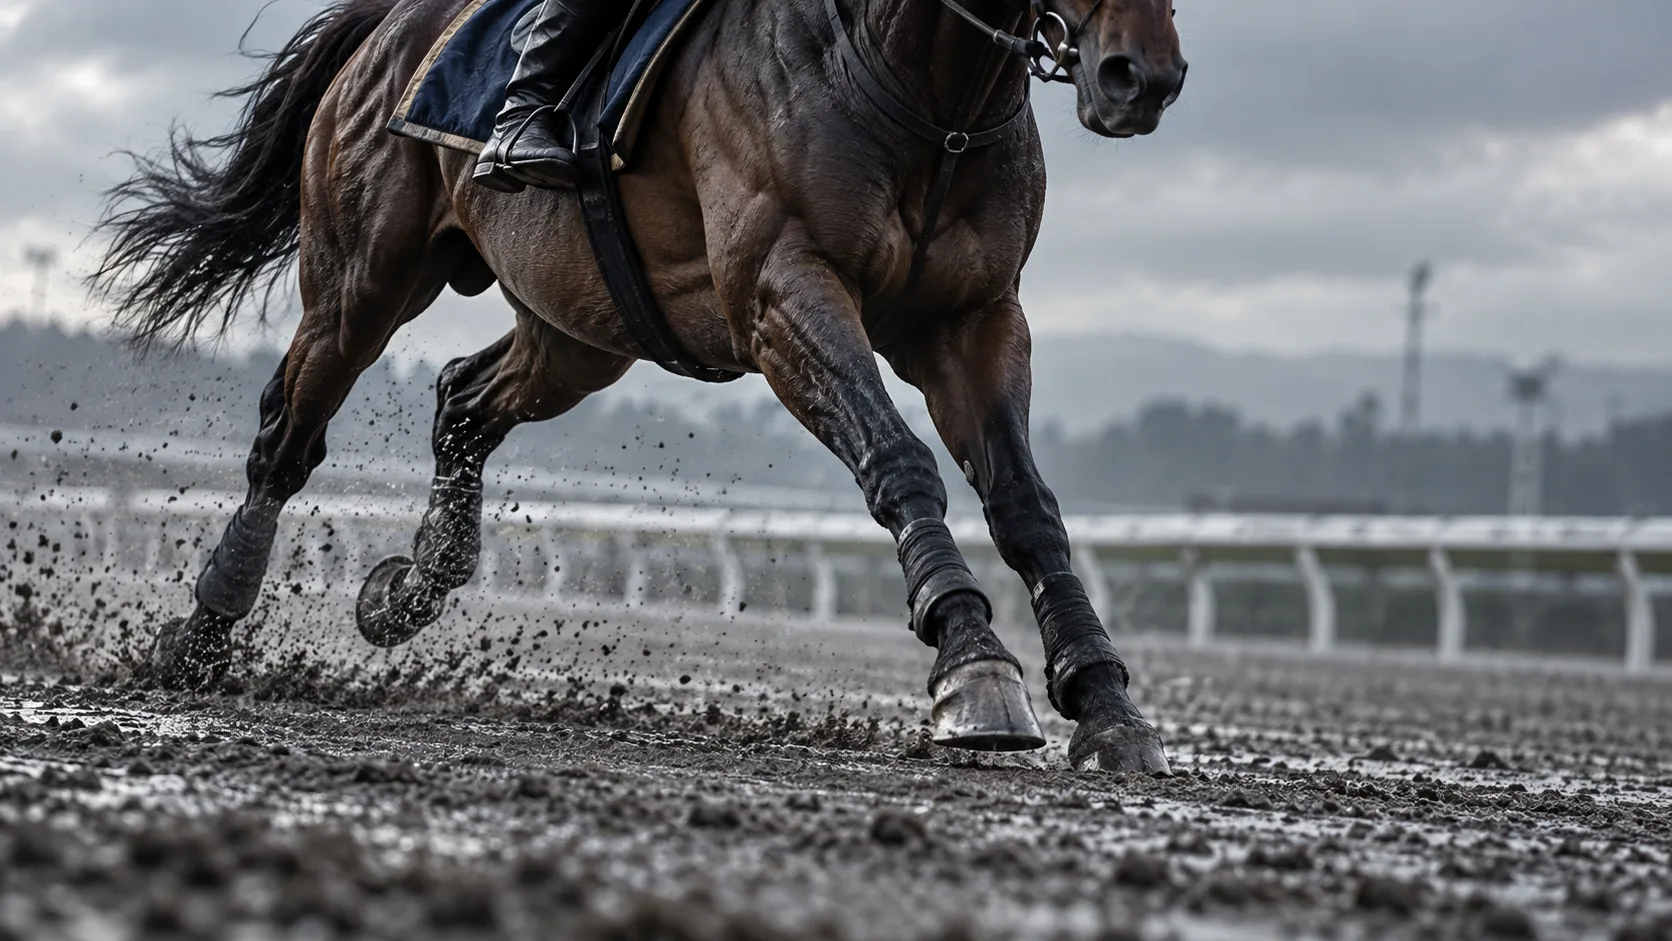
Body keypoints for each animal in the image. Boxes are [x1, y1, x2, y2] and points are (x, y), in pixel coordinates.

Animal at [93, 0, 1187, 773]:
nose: (1141, 73)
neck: (921, 87)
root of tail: (385, 28)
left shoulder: (977, 319)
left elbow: (1026, 505)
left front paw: (1105, 702)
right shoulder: (784, 290)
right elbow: (898, 460)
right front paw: (972, 663)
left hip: (582, 326)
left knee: (462, 397)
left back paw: (408, 588)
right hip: (362, 279)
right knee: (287, 439)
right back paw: (202, 634)